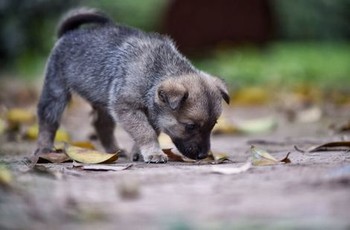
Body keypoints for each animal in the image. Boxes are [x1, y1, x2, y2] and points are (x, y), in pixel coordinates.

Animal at [36, 8, 230, 163]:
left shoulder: (152, 113)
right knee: (48, 121)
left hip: (104, 102)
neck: (154, 73)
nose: (203, 156)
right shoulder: (126, 107)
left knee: (102, 125)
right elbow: (145, 131)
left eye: (213, 124)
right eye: (190, 126)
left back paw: (114, 150)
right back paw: (44, 149)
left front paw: (139, 152)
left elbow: (150, 130)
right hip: (56, 90)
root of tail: (68, 33)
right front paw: (153, 153)